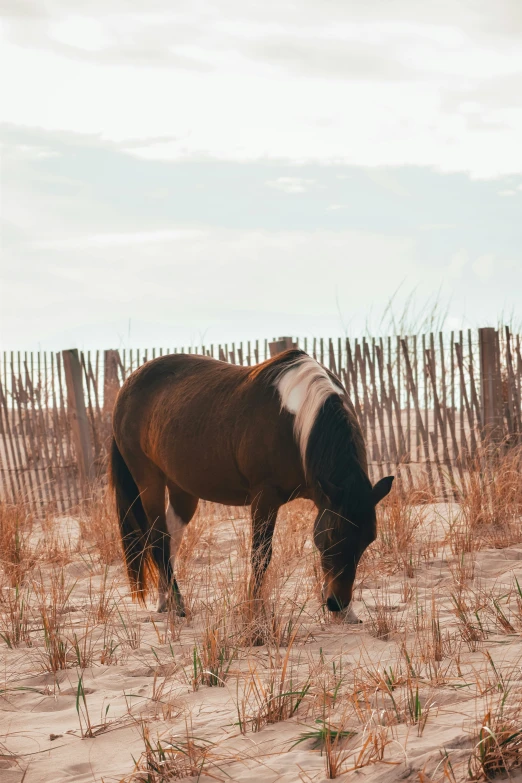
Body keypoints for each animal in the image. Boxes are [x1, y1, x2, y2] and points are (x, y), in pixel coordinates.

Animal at [110, 350, 394, 624]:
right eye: (333, 535)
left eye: (368, 539)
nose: (337, 604)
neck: (297, 421)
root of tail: (127, 387)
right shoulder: (265, 497)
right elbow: (260, 555)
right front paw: (255, 611)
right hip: (149, 481)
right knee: (158, 540)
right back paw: (178, 606)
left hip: (182, 489)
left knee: (170, 539)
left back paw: (165, 601)